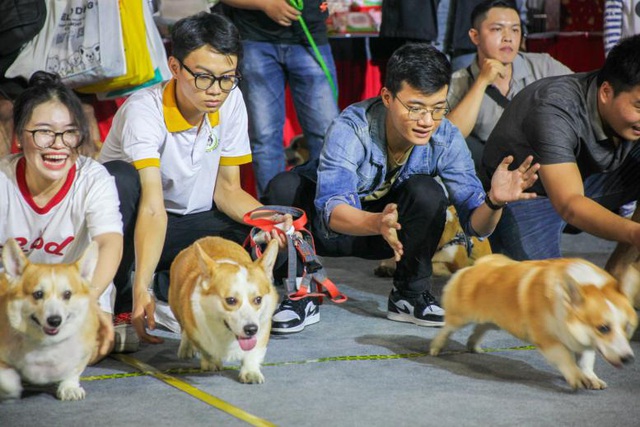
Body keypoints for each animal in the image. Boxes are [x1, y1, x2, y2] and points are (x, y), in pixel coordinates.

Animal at [0, 239, 104, 400]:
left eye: (67, 294)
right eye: (38, 294)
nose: (55, 320)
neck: (46, 343)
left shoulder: (83, 353)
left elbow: (74, 370)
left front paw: (69, 387)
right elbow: (7, 377)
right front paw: (11, 388)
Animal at [169, 236, 278, 386]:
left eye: (258, 299)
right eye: (230, 300)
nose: (251, 329)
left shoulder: (263, 326)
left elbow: (253, 352)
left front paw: (250, 372)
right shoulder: (195, 328)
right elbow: (206, 349)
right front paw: (211, 362)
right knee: (183, 330)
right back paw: (186, 348)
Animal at [430, 254, 640, 392]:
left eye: (627, 328)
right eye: (603, 328)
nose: (628, 359)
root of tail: (479, 263)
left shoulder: (585, 342)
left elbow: (587, 360)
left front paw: (591, 378)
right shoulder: (547, 339)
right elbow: (565, 357)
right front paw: (576, 376)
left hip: (496, 319)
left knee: (481, 327)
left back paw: (473, 345)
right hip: (461, 316)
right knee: (447, 328)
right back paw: (435, 348)